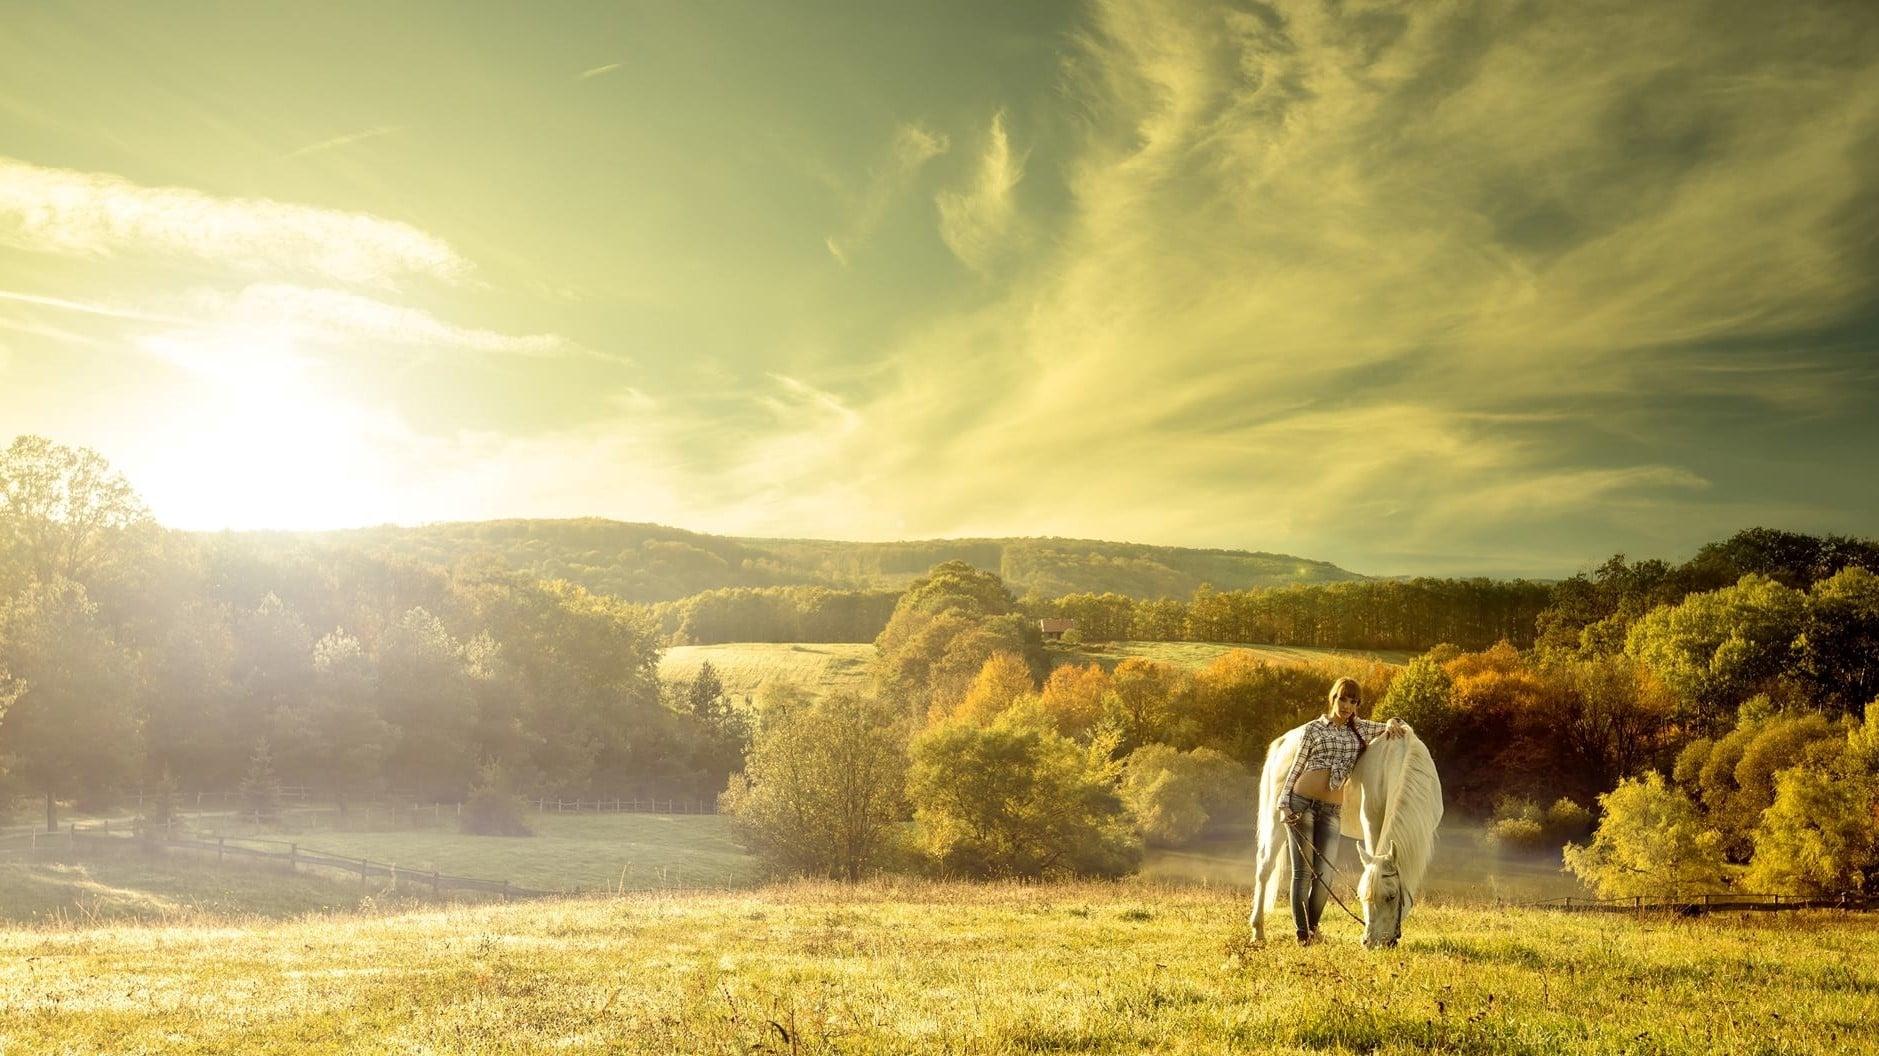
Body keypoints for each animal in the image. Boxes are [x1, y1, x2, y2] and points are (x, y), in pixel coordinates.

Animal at [1255, 721, 1443, 947]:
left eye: (1391, 897)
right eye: (1362, 896)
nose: (1371, 943)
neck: (1399, 757)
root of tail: (1285, 742)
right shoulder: (1372, 826)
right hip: (1278, 818)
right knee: (1265, 867)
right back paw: (1258, 932)